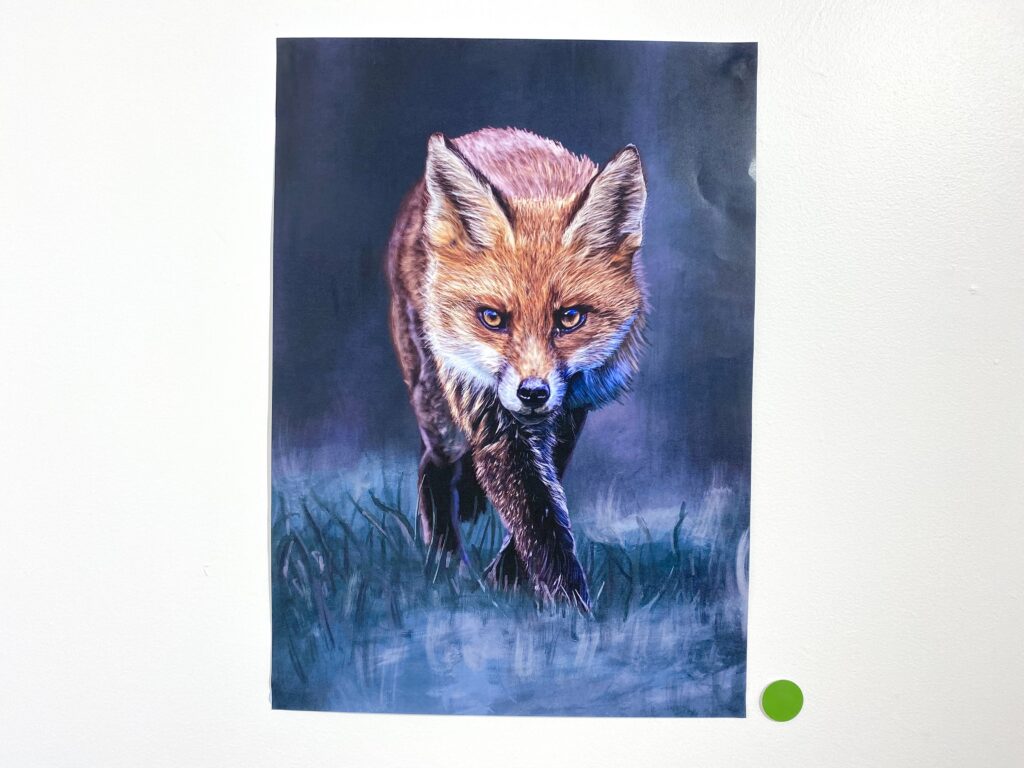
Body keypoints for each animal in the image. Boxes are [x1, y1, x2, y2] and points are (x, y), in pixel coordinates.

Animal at [386, 127, 648, 610]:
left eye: (569, 318)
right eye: (493, 318)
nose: (532, 393)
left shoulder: (571, 407)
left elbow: (544, 497)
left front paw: (511, 576)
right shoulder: (489, 414)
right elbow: (535, 514)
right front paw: (571, 610)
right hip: (440, 411)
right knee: (434, 463)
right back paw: (445, 561)